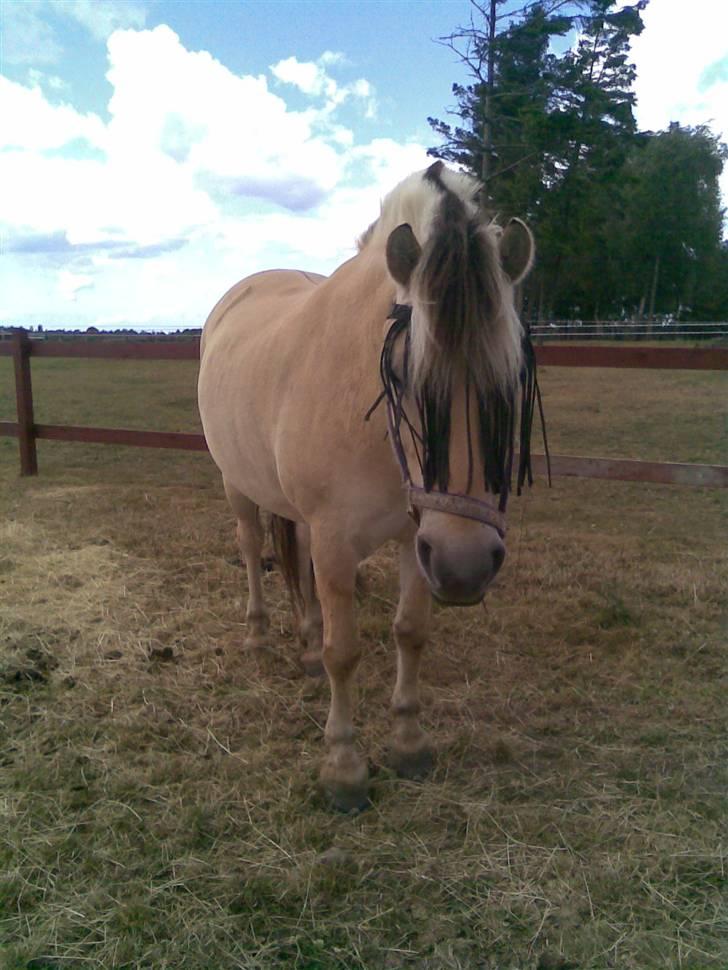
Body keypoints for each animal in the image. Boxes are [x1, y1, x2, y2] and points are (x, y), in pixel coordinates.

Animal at [198, 161, 537, 811]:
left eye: (511, 379)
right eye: (403, 375)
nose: (466, 567)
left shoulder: (418, 537)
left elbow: (410, 632)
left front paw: (408, 742)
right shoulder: (341, 542)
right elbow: (345, 651)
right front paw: (344, 767)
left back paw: (304, 644)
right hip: (235, 483)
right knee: (252, 548)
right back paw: (258, 637)